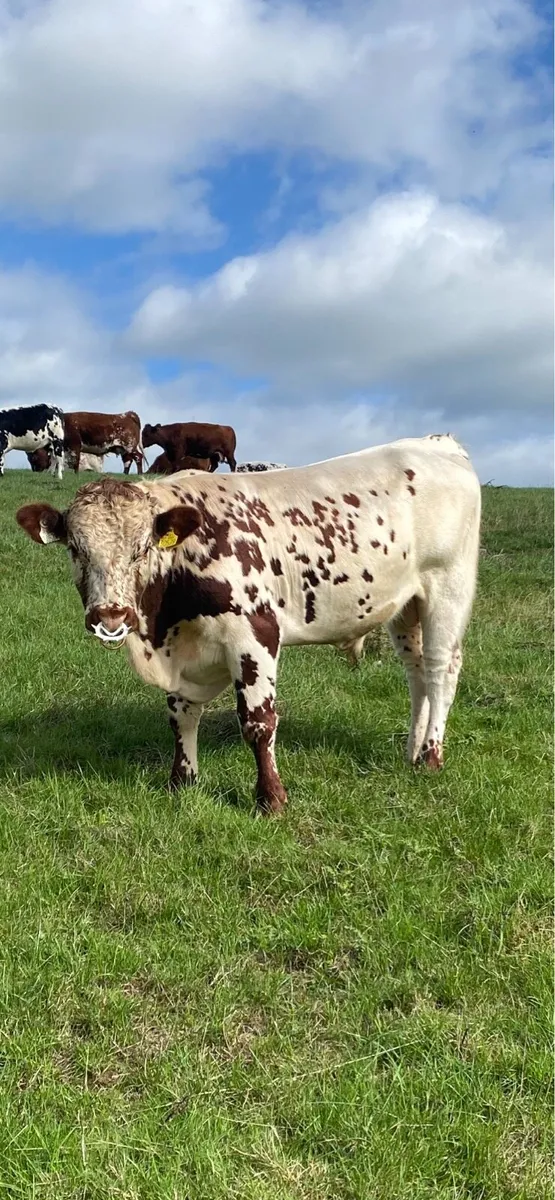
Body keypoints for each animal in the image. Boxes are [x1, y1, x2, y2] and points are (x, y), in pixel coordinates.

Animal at [16, 434, 480, 815]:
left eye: (142, 548)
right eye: (75, 548)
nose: (110, 616)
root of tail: (437, 443)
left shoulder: (255, 635)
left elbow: (258, 722)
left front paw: (270, 798)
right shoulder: (182, 653)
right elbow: (181, 716)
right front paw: (182, 782)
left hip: (447, 588)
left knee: (440, 670)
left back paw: (431, 756)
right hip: (406, 606)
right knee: (416, 675)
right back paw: (412, 752)